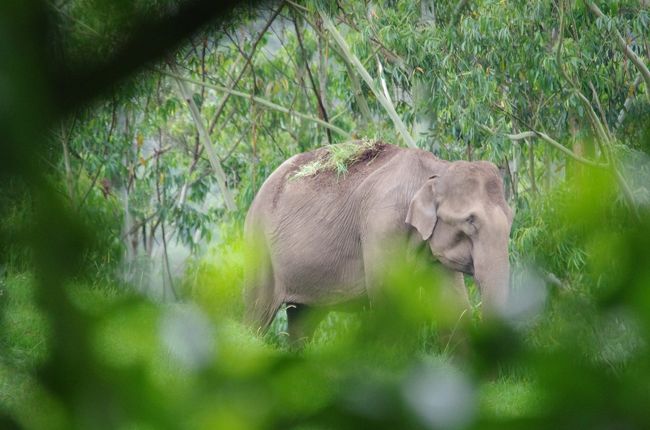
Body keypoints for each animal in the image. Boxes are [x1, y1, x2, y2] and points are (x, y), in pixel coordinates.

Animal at [243, 143, 512, 340]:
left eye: (511, 218)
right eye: (470, 221)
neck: (435, 171)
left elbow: (453, 306)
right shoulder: (381, 225)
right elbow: (387, 300)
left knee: (302, 320)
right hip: (259, 246)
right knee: (256, 316)